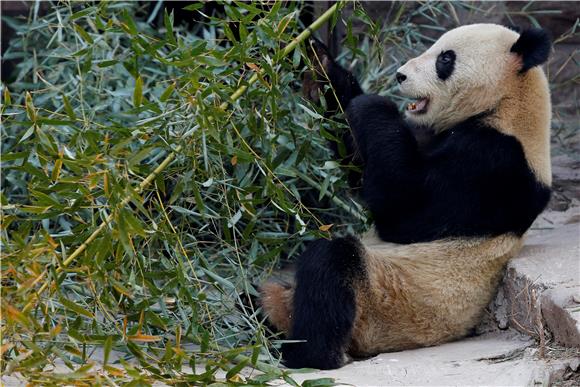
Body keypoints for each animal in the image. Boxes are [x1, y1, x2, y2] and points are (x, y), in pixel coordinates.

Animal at [260, 23, 552, 370]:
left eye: (445, 59)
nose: (400, 76)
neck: (507, 104)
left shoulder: (494, 165)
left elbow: (404, 210)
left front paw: (375, 104)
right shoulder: (435, 136)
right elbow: (360, 164)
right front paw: (319, 60)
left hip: (387, 306)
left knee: (331, 267)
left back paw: (306, 354)